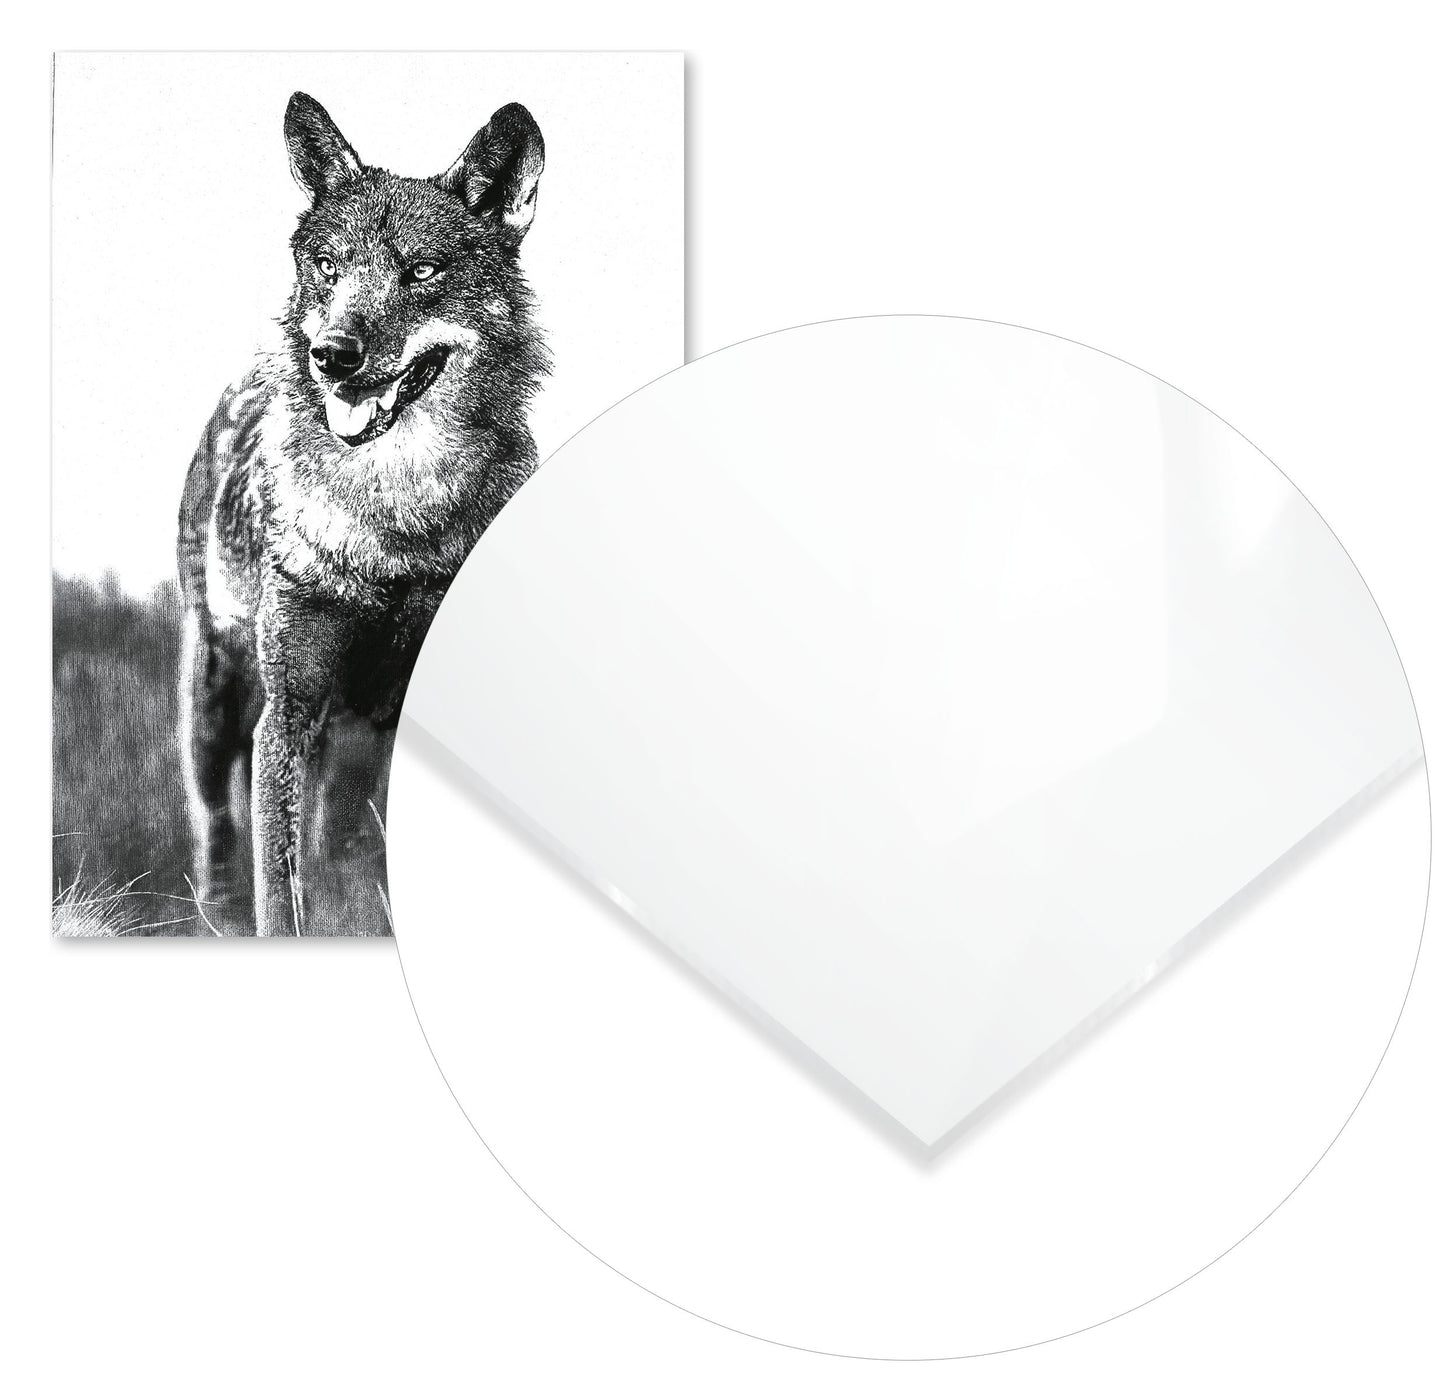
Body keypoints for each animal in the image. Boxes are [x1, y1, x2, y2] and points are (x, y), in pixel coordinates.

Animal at [177, 92, 547, 936]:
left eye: (421, 271)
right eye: (329, 267)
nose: (334, 356)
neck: (396, 522)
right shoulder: (288, 713)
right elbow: (279, 898)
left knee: (343, 843)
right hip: (215, 698)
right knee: (218, 838)